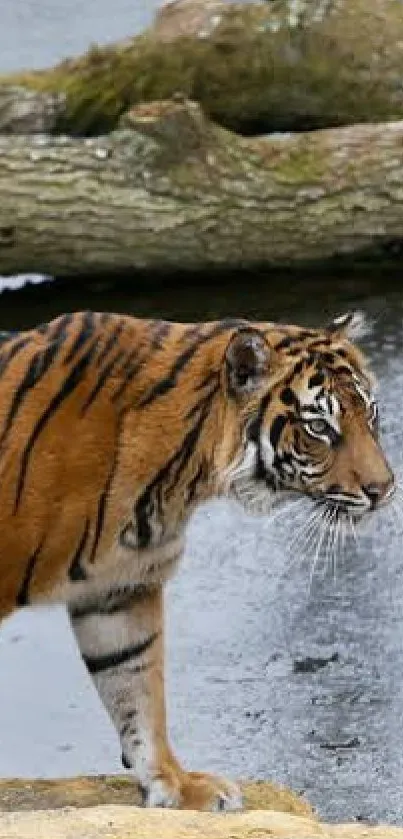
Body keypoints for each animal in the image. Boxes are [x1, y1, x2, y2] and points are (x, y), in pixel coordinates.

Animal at [0, 312, 394, 812]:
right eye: (320, 428)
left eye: (371, 412)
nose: (385, 489)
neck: (183, 470)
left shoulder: (119, 588)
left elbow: (137, 692)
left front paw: (177, 785)